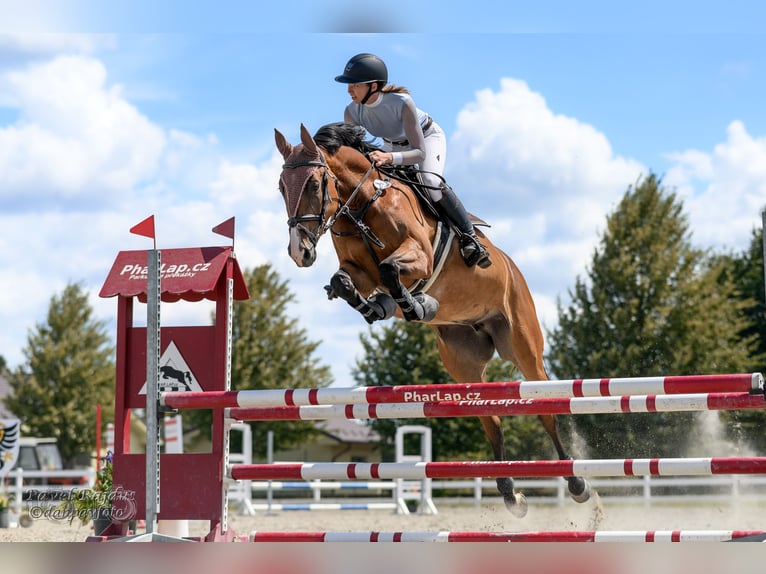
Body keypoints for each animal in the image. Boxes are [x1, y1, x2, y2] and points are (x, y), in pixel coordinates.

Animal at [276, 121, 592, 516]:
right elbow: (345, 282)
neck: (362, 206)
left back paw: (577, 484)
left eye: (315, 185)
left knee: (545, 410)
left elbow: (390, 269)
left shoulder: (420, 258)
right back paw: (510, 493)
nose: (298, 251)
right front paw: (384, 307)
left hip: (524, 347)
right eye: (281, 186)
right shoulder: (358, 271)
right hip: (463, 363)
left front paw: (418, 305)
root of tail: (513, 268)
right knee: (491, 419)